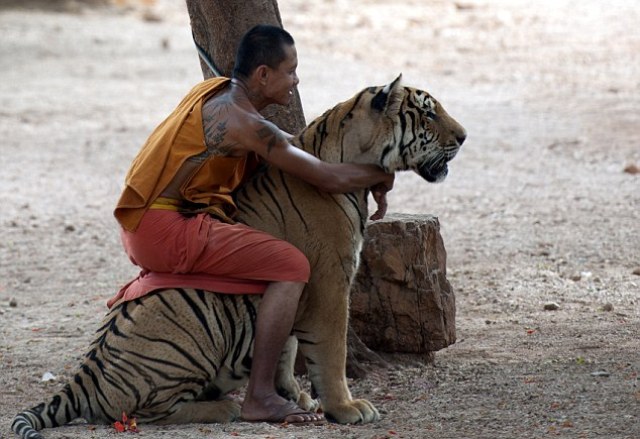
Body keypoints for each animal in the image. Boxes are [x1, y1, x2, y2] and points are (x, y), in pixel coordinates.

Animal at [11, 74, 464, 438]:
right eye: (427, 115)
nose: (463, 137)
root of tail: (81, 378)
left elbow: (285, 349)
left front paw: (299, 399)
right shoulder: (330, 282)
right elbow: (329, 352)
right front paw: (346, 408)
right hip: (189, 344)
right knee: (137, 412)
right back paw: (223, 406)